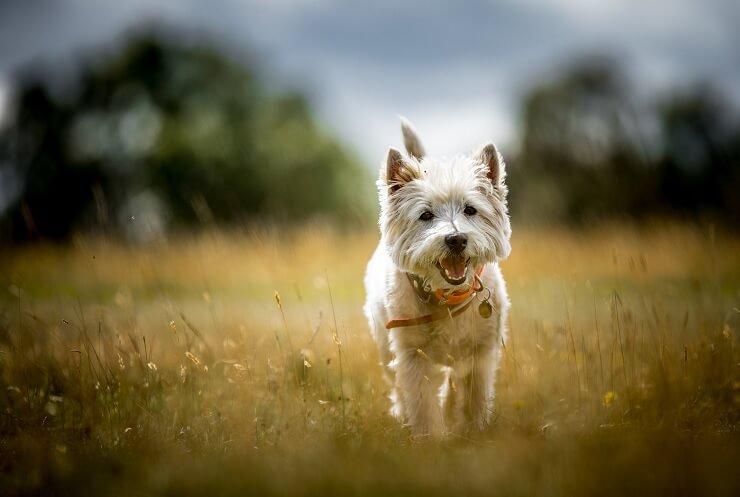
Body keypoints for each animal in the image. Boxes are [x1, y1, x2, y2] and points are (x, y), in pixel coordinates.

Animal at [362, 117, 512, 438]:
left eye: (470, 209)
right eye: (426, 215)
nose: (456, 239)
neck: (447, 297)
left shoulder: (482, 350)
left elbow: (475, 394)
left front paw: (475, 429)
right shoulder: (411, 354)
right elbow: (421, 400)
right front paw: (430, 439)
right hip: (384, 345)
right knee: (398, 385)